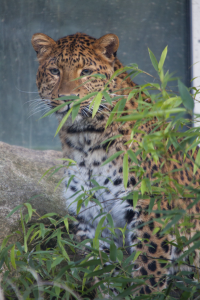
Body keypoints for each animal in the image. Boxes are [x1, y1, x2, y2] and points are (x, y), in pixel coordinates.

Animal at [31, 31, 200, 296]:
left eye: (86, 72)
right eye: (55, 71)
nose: (67, 98)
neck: (85, 138)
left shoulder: (151, 211)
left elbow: (148, 274)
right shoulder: (90, 214)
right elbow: (103, 273)